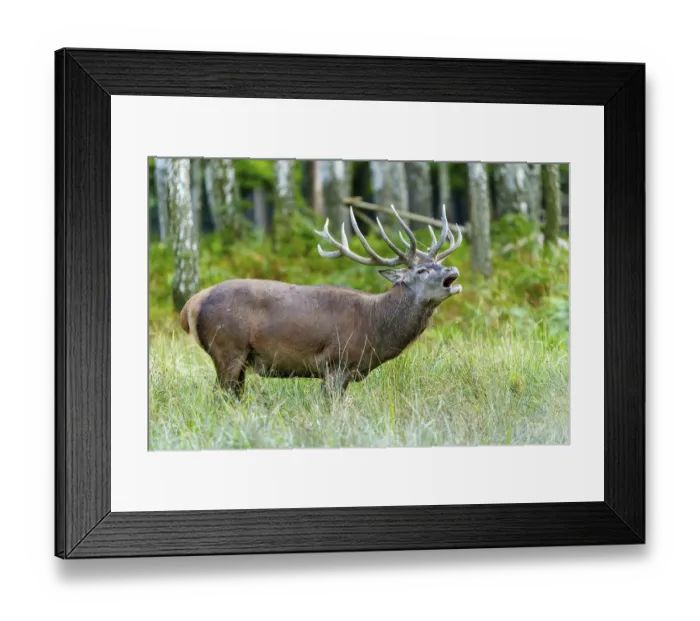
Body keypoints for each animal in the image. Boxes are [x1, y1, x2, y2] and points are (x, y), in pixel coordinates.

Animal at [179, 204, 463, 398]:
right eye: (422, 270)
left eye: (439, 264)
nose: (452, 271)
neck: (374, 328)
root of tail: (190, 305)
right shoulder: (336, 363)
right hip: (227, 348)